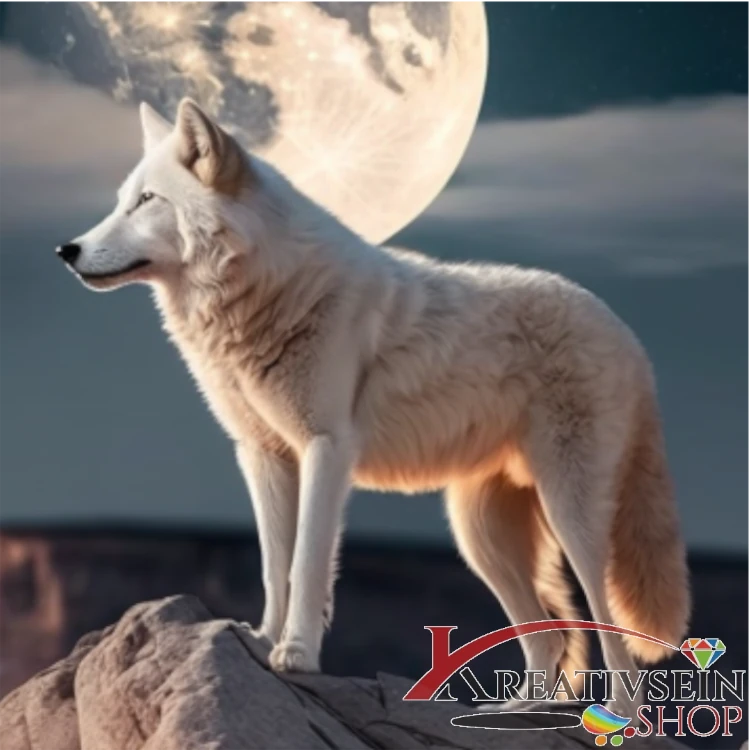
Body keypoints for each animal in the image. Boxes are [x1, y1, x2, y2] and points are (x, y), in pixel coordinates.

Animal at [57, 98, 690, 714]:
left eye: (147, 201)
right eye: (121, 200)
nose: (66, 250)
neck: (265, 292)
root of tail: (629, 337)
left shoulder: (326, 449)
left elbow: (307, 562)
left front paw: (296, 654)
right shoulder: (263, 455)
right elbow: (273, 566)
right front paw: (262, 639)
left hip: (568, 516)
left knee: (606, 625)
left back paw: (617, 716)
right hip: (479, 536)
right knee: (550, 637)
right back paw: (514, 714)